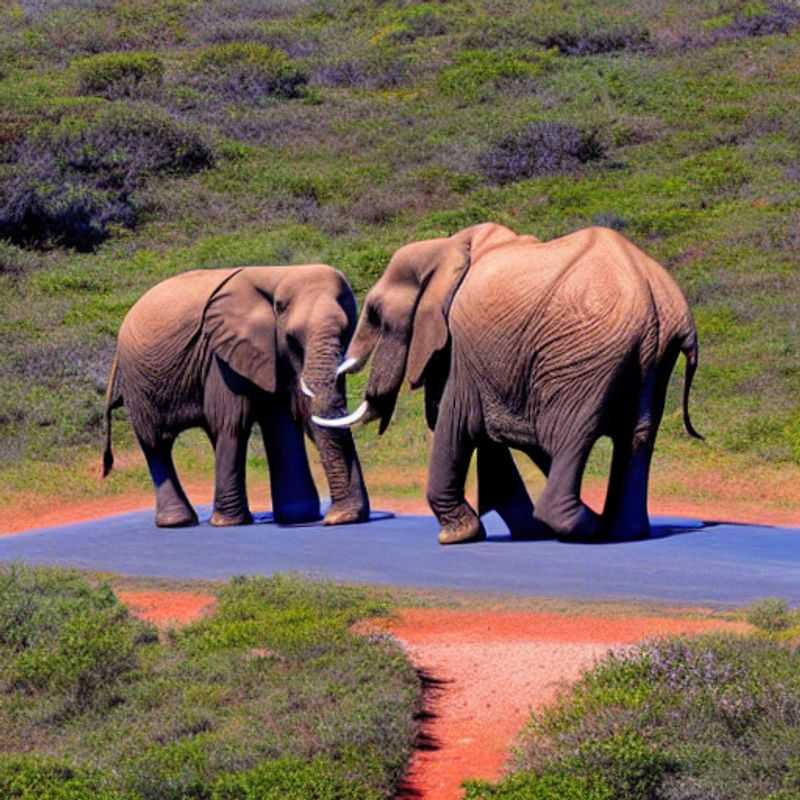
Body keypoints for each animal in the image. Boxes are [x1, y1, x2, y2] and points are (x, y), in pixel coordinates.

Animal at [102, 264, 370, 528]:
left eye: (347, 333)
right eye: (292, 339)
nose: (338, 518)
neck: (278, 274)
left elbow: (299, 418)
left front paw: (328, 517)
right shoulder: (221, 356)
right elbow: (232, 423)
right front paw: (227, 523)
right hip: (138, 383)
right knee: (156, 443)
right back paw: (177, 522)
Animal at [315, 223, 701, 545]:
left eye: (376, 315)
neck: (445, 248)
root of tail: (653, 295)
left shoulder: (459, 344)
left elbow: (454, 421)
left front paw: (456, 537)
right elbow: (485, 435)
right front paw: (519, 530)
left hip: (584, 359)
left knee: (567, 435)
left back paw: (588, 527)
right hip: (650, 359)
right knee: (636, 436)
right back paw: (621, 531)